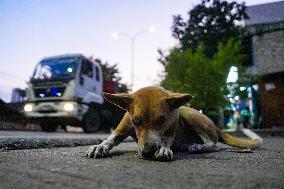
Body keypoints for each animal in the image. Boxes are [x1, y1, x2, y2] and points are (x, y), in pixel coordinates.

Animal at [86, 86, 262, 162]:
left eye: (162, 120)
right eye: (136, 121)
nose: (147, 152)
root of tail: (218, 129)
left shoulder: (171, 129)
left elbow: (166, 140)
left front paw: (163, 149)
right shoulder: (122, 127)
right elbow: (110, 138)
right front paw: (100, 146)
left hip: (186, 113)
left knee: (213, 144)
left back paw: (197, 147)